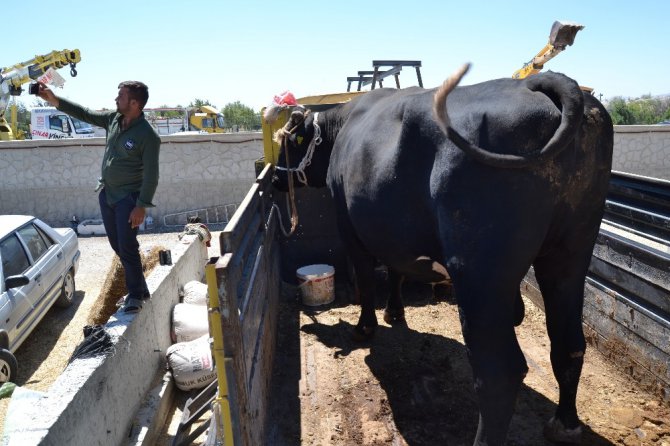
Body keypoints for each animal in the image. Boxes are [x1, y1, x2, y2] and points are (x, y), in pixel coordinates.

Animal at [272, 63, 616, 446]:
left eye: (287, 143)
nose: (273, 179)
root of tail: (537, 83)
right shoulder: (394, 233)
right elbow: (396, 269)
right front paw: (395, 311)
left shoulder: (350, 228)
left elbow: (367, 279)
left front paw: (365, 328)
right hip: (571, 251)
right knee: (569, 343)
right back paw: (565, 423)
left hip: (480, 269)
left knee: (499, 372)